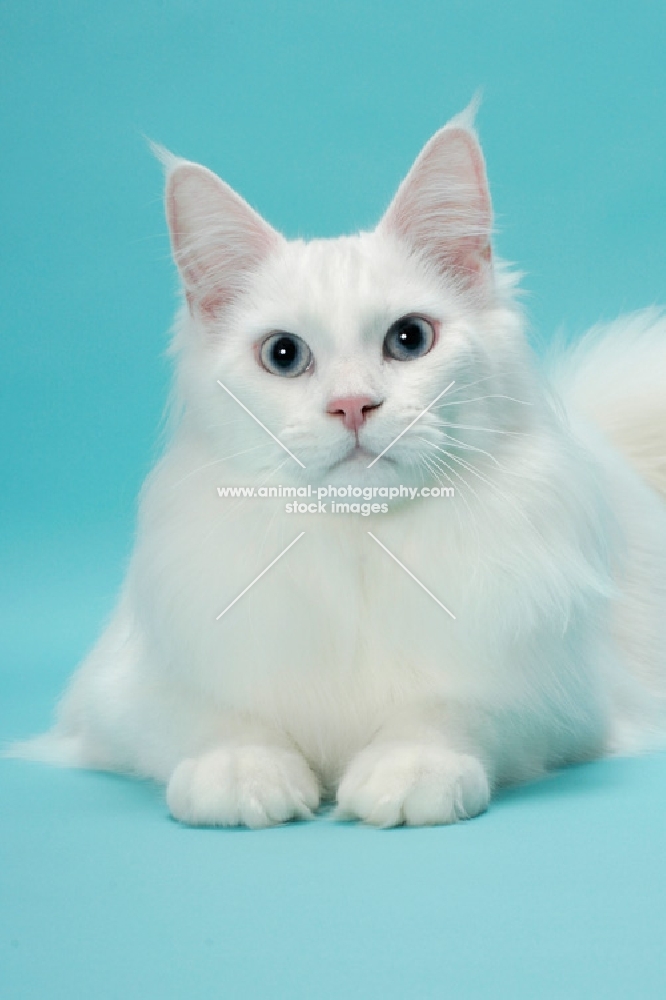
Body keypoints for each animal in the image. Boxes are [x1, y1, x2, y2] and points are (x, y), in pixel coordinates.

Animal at [13, 105, 664, 832]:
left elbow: (450, 710)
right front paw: (240, 773)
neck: (360, 547)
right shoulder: (122, 693)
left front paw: (409, 770)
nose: (352, 405)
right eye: (283, 354)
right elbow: (213, 717)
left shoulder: (556, 697)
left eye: (410, 339)